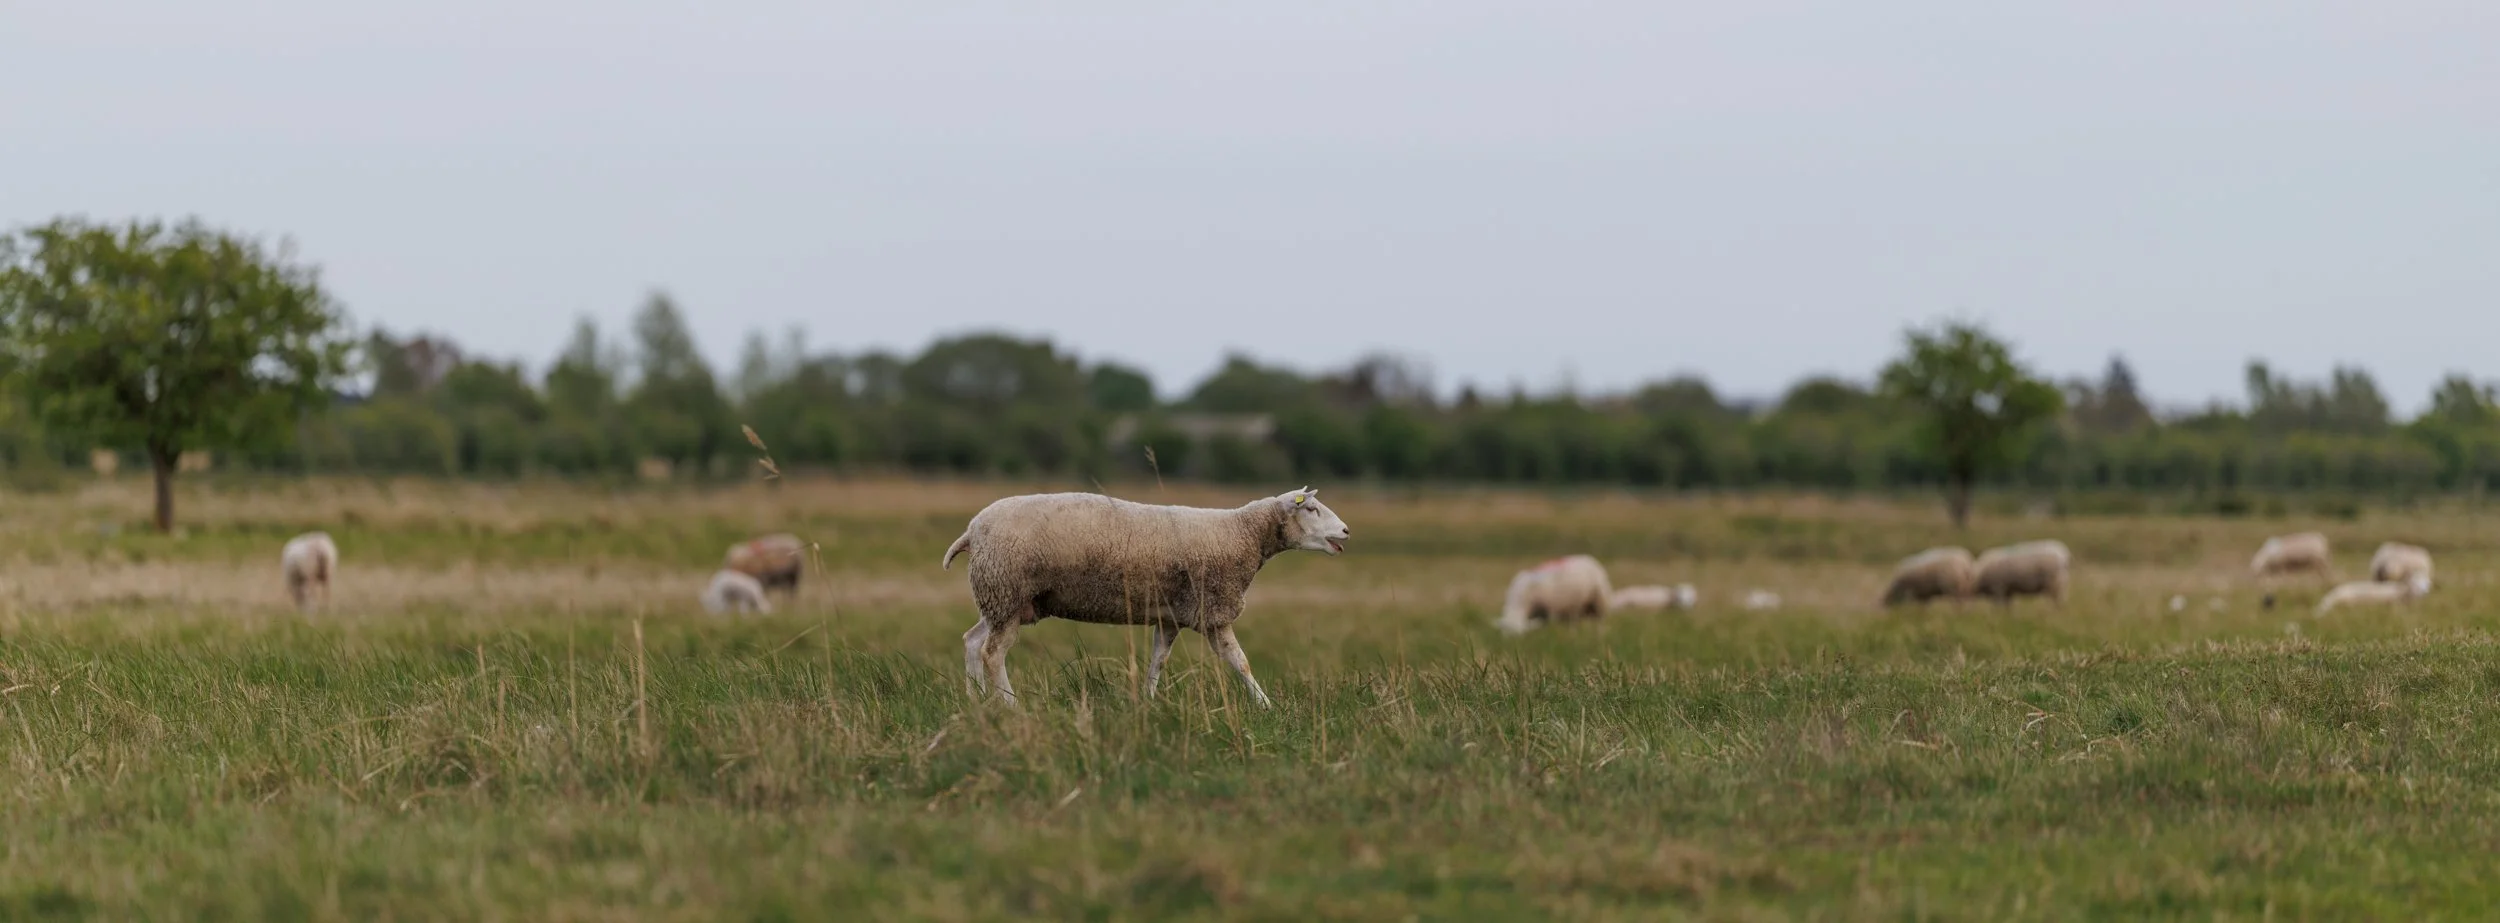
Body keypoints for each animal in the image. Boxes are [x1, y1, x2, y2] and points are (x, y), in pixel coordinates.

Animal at [941, 486, 1351, 707]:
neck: (1244, 534)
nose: (1346, 530)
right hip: (1006, 592)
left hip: (1001, 601)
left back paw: (975, 700)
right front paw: (1266, 705)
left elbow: (1158, 661)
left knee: (972, 641)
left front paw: (1149, 701)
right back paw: (1009, 704)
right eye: (1311, 508)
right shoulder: (1212, 610)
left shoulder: (1170, 616)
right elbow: (1241, 662)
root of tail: (971, 530)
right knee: (993, 653)